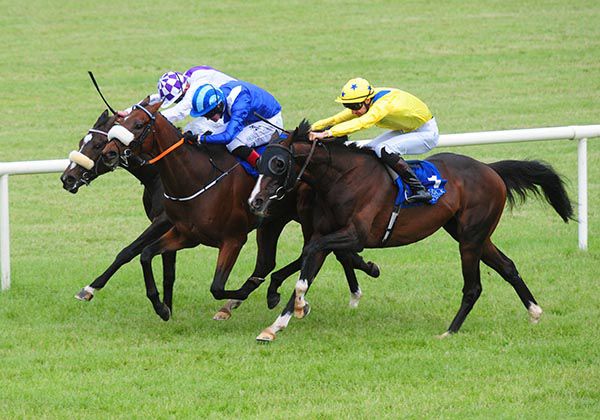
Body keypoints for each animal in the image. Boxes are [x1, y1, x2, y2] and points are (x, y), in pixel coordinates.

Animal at [98, 103, 380, 320]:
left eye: (137, 125)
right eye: (120, 122)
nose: (109, 153)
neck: (196, 177)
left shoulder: (233, 239)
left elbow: (216, 287)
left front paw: (246, 293)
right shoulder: (185, 235)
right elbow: (145, 255)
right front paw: (161, 307)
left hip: (306, 217)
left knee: (315, 251)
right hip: (273, 222)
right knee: (275, 261)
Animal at [247, 120, 572, 342]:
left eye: (278, 164)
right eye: (258, 162)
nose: (255, 201)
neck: (344, 179)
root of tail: (490, 170)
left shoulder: (356, 235)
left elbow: (312, 254)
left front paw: (299, 305)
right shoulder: (324, 234)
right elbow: (307, 272)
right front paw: (277, 324)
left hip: (470, 238)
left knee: (474, 286)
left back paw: (450, 331)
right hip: (473, 234)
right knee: (508, 266)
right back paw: (534, 311)